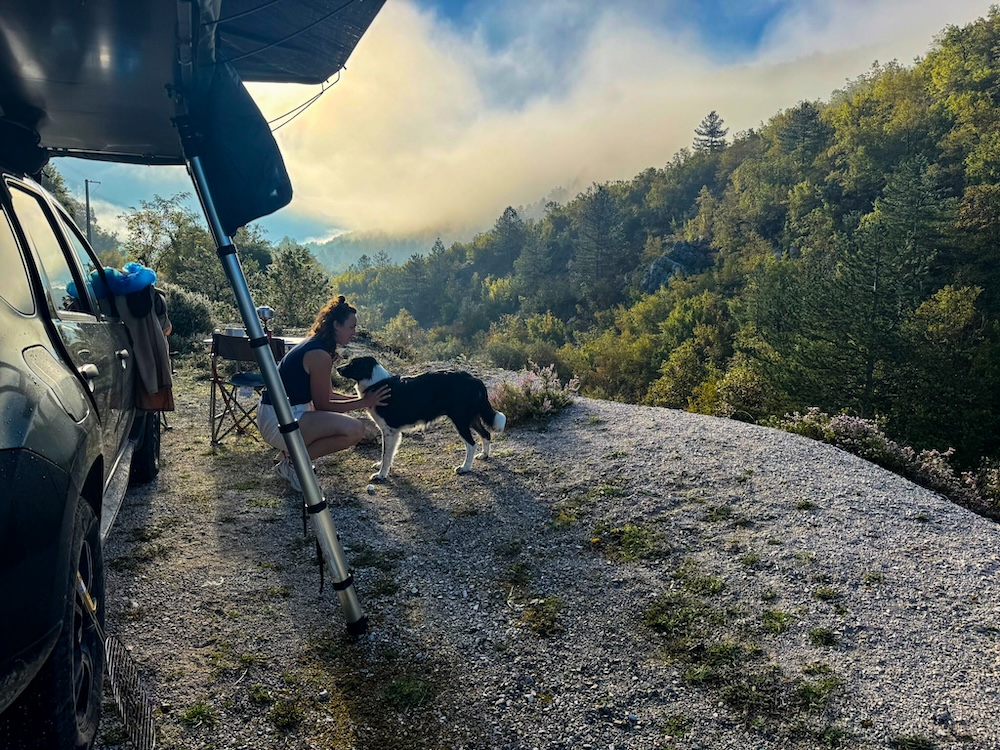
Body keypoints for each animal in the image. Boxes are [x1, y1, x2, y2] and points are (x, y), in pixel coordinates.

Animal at [338, 356, 508, 482]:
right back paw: (484, 455)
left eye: (352, 364)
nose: (338, 368)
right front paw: (382, 468)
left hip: (460, 419)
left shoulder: (390, 431)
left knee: (471, 444)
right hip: (470, 418)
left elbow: (386, 454)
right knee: (486, 434)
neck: (377, 383)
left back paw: (465, 468)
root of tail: (475, 380)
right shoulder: (392, 432)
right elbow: (387, 454)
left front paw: (381, 475)